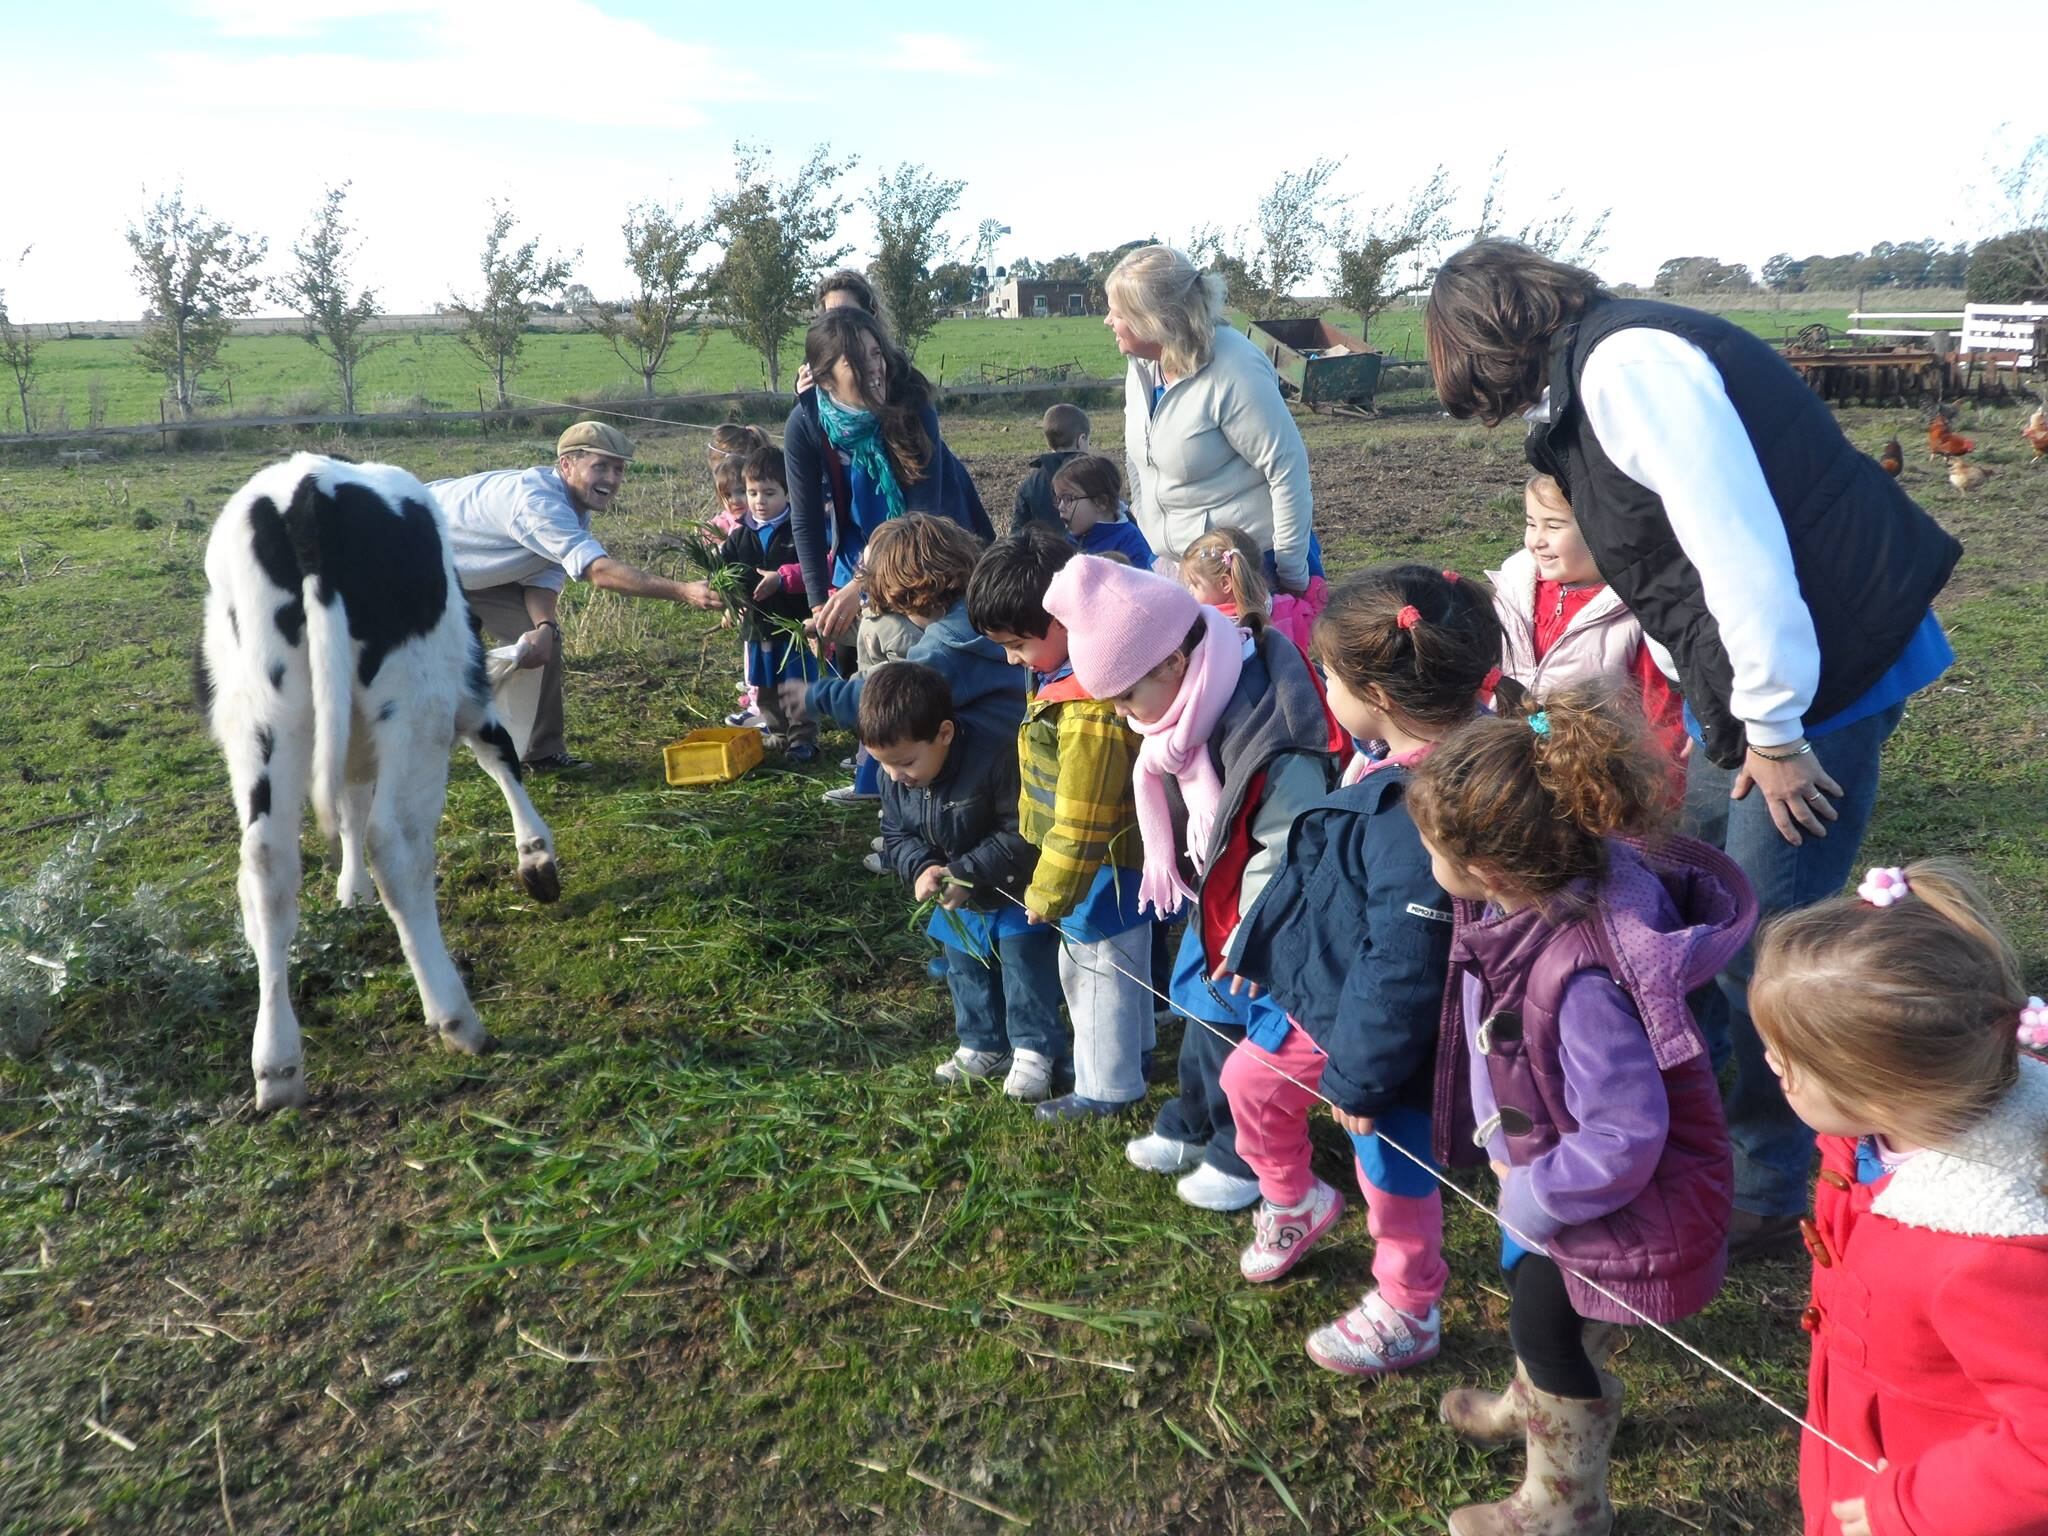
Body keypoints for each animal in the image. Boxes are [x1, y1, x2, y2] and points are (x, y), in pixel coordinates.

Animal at [196, 450, 565, 1114]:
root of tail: (307, 492)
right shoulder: (466, 698)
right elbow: (501, 756)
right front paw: (537, 860)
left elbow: (349, 808)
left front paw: (350, 892)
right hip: (417, 702)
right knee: (396, 844)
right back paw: (456, 1017)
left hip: (259, 718)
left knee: (266, 866)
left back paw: (277, 1065)